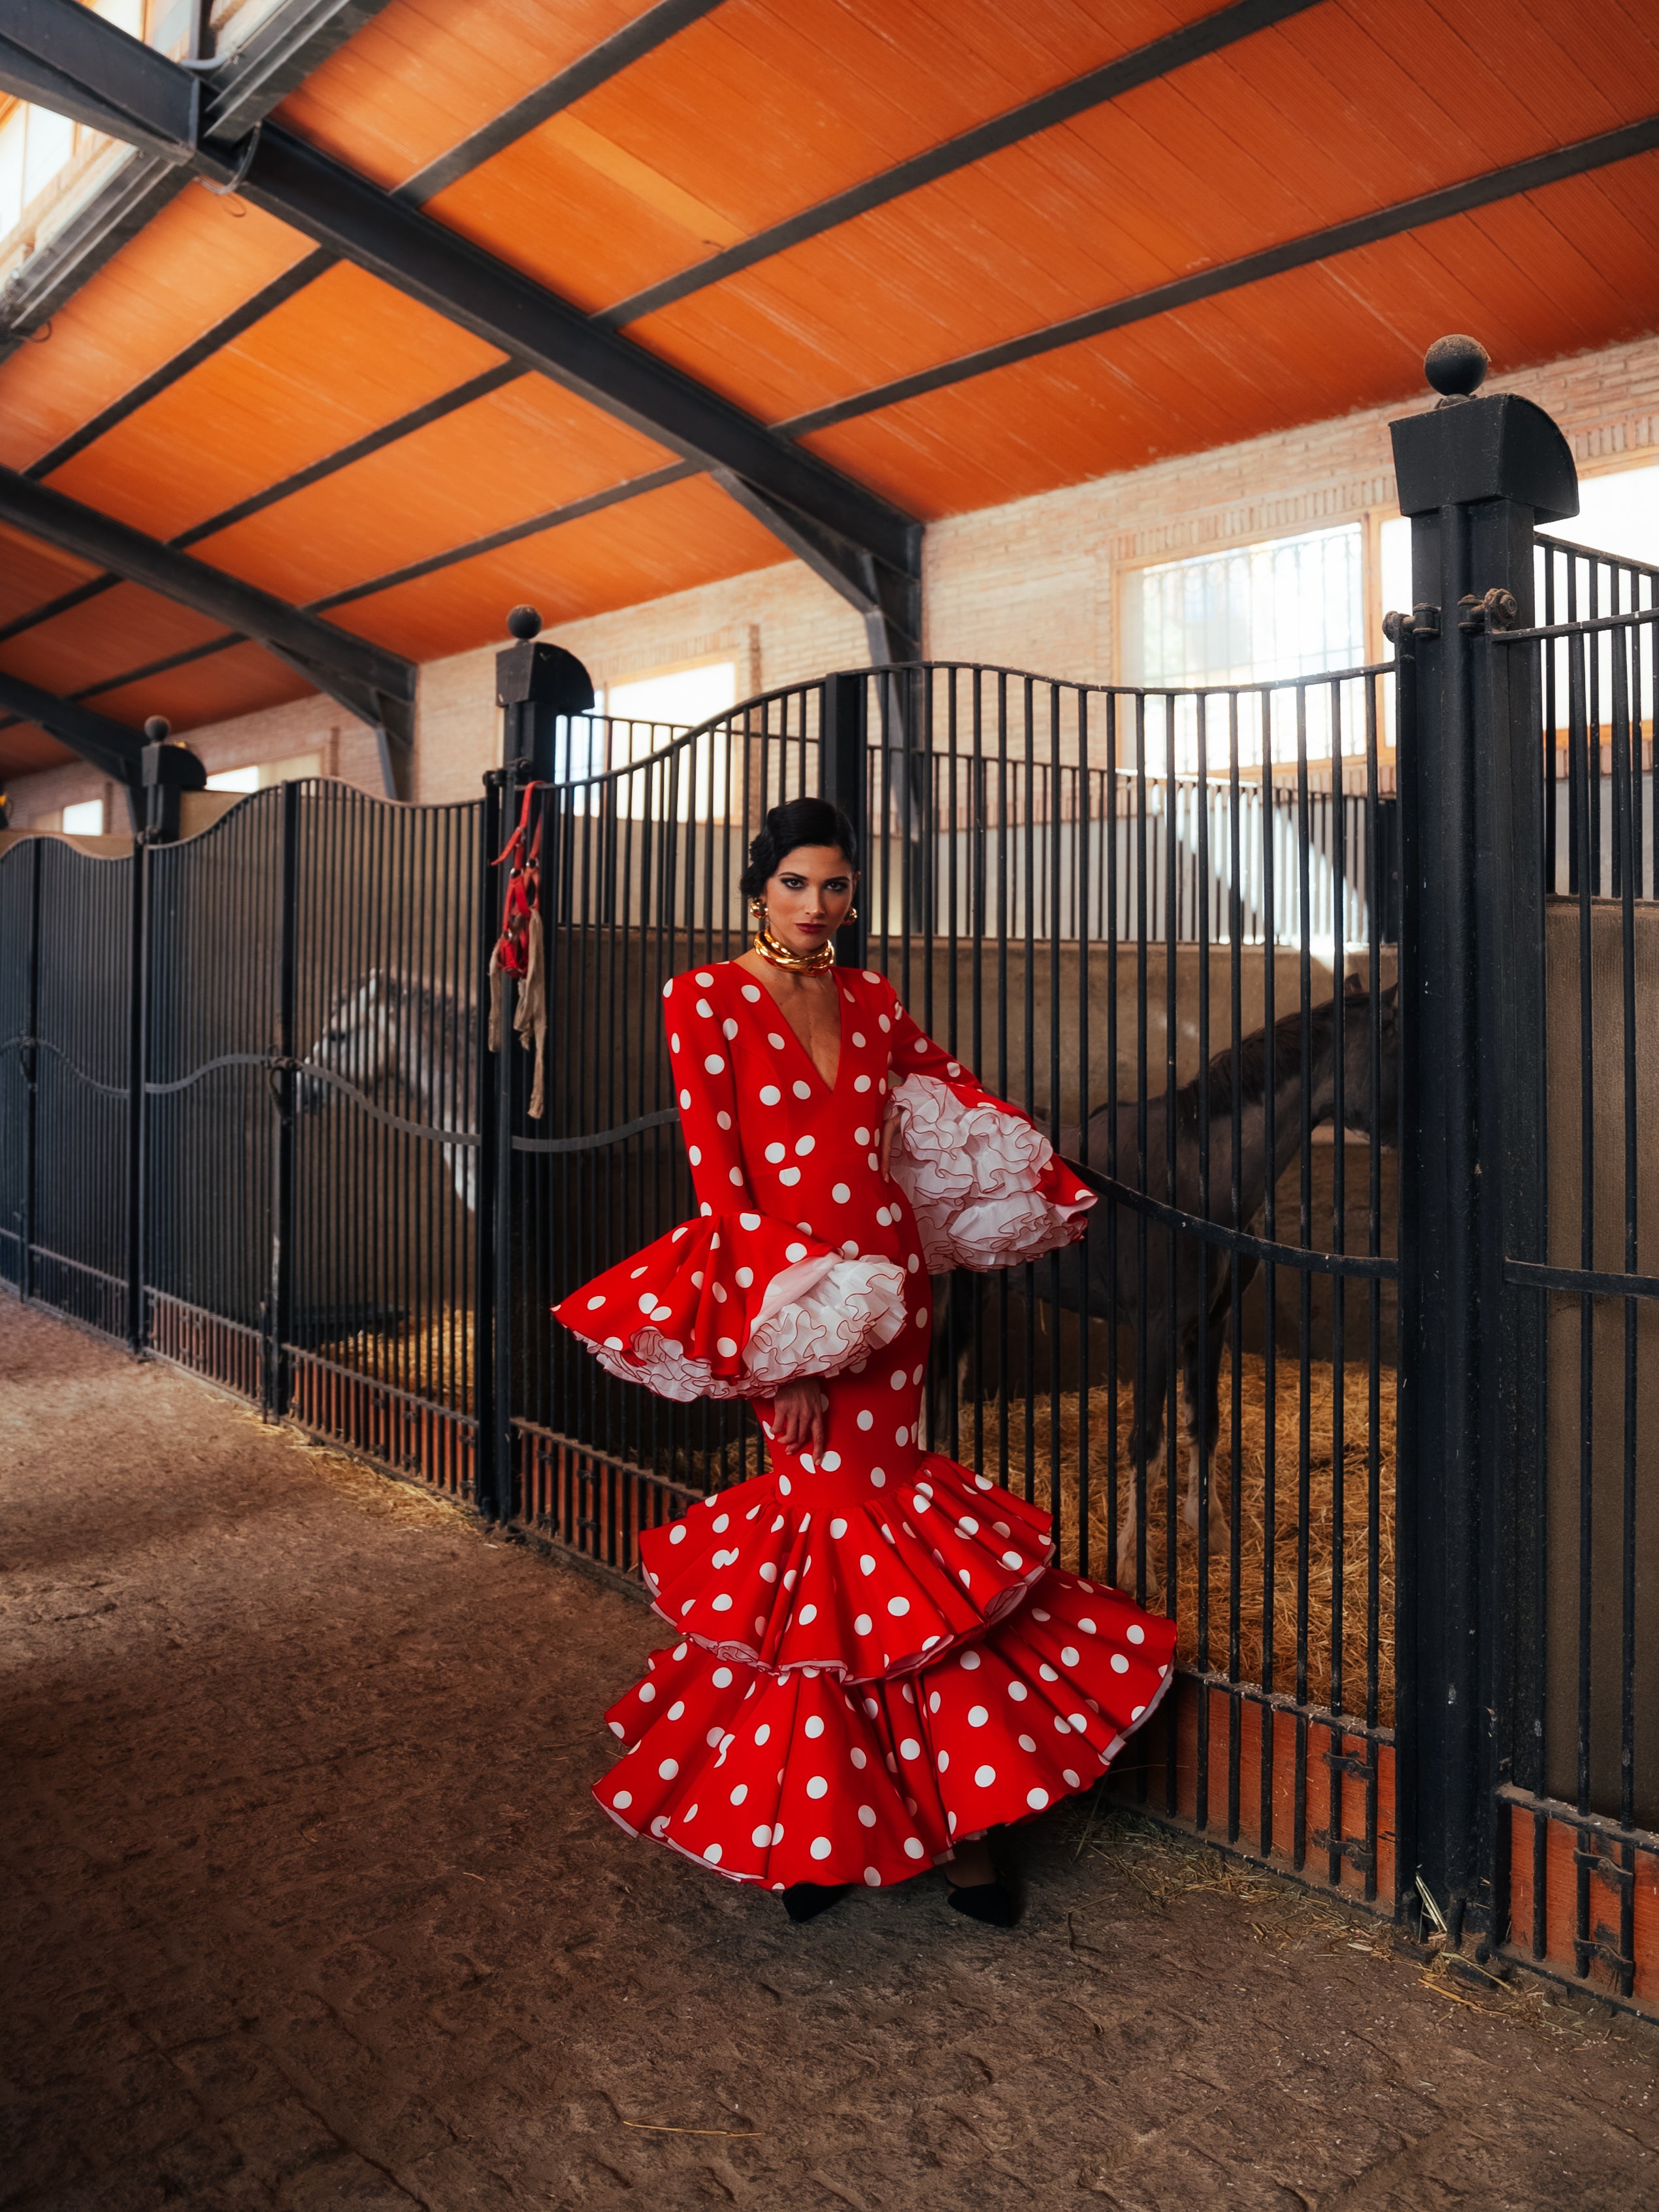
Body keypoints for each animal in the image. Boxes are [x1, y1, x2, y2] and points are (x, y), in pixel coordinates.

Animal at [928, 978, 1398, 1583]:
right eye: (1396, 1045)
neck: (1192, 1185)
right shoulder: (1155, 1329)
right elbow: (1147, 1442)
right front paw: (1135, 1567)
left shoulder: (1210, 1323)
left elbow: (1205, 1422)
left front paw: (1211, 1529)